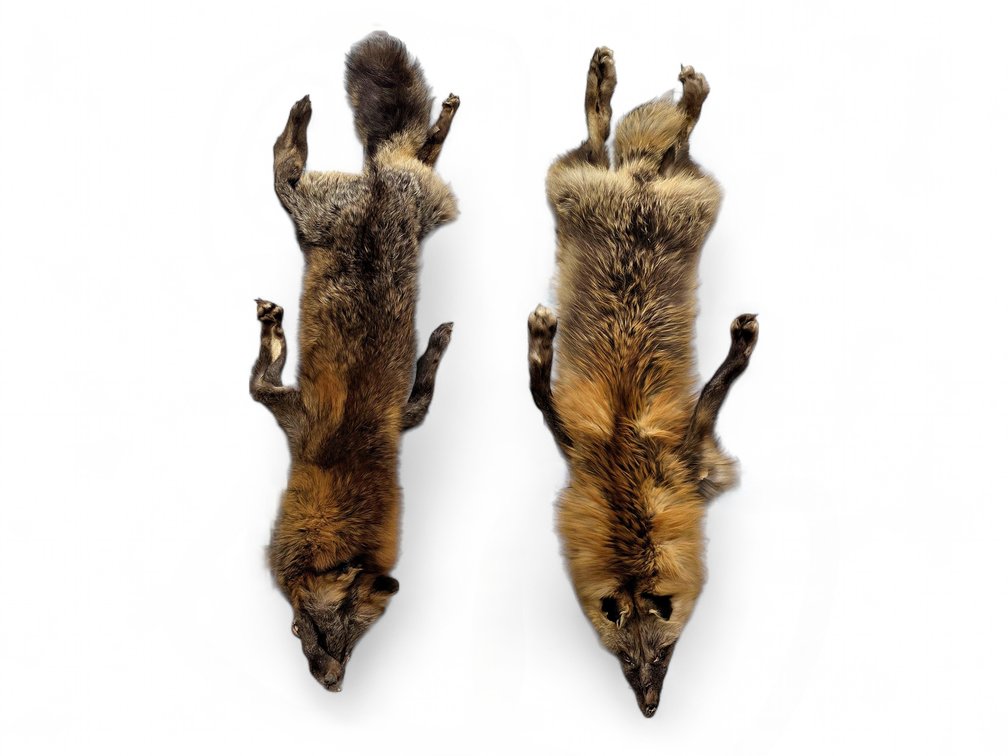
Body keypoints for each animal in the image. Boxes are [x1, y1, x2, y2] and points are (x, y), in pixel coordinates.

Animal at [250, 31, 459, 692]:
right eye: (318, 629)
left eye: (359, 636)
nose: (334, 683)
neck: (347, 459)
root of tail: (379, 187)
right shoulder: (298, 417)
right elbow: (260, 380)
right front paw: (272, 332)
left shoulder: (393, 420)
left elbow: (424, 388)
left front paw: (438, 344)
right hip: (333, 212)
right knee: (286, 175)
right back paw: (301, 122)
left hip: (413, 204)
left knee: (407, 152)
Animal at [527, 47, 758, 717]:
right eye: (624, 662)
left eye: (661, 653)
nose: (649, 708)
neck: (628, 475)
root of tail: (637, 179)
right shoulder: (587, 449)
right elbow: (538, 390)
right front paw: (538, 343)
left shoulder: (686, 452)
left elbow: (719, 384)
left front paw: (743, 345)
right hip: (581, 189)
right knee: (603, 140)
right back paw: (612, 87)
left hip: (690, 200)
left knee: (658, 142)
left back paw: (673, 92)